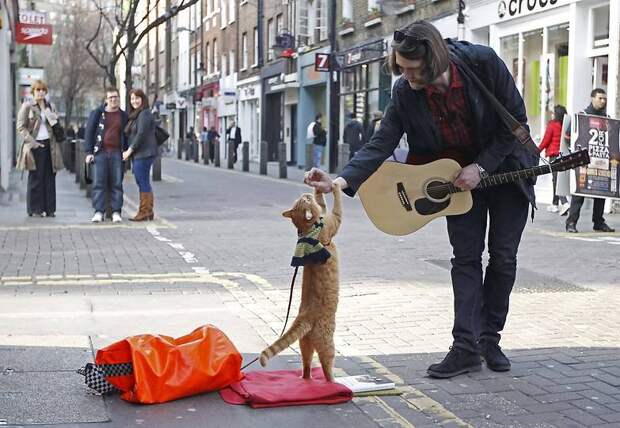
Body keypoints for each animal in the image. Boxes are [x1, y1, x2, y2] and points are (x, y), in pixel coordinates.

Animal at [258, 182, 342, 382]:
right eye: (306, 199)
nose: (305, 193)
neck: (309, 230)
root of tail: (305, 316)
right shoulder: (334, 221)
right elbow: (337, 204)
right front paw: (335, 185)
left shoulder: (324, 212)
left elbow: (322, 202)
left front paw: (319, 184)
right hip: (327, 343)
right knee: (326, 367)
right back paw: (334, 382)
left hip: (305, 344)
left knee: (306, 365)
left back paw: (307, 379)